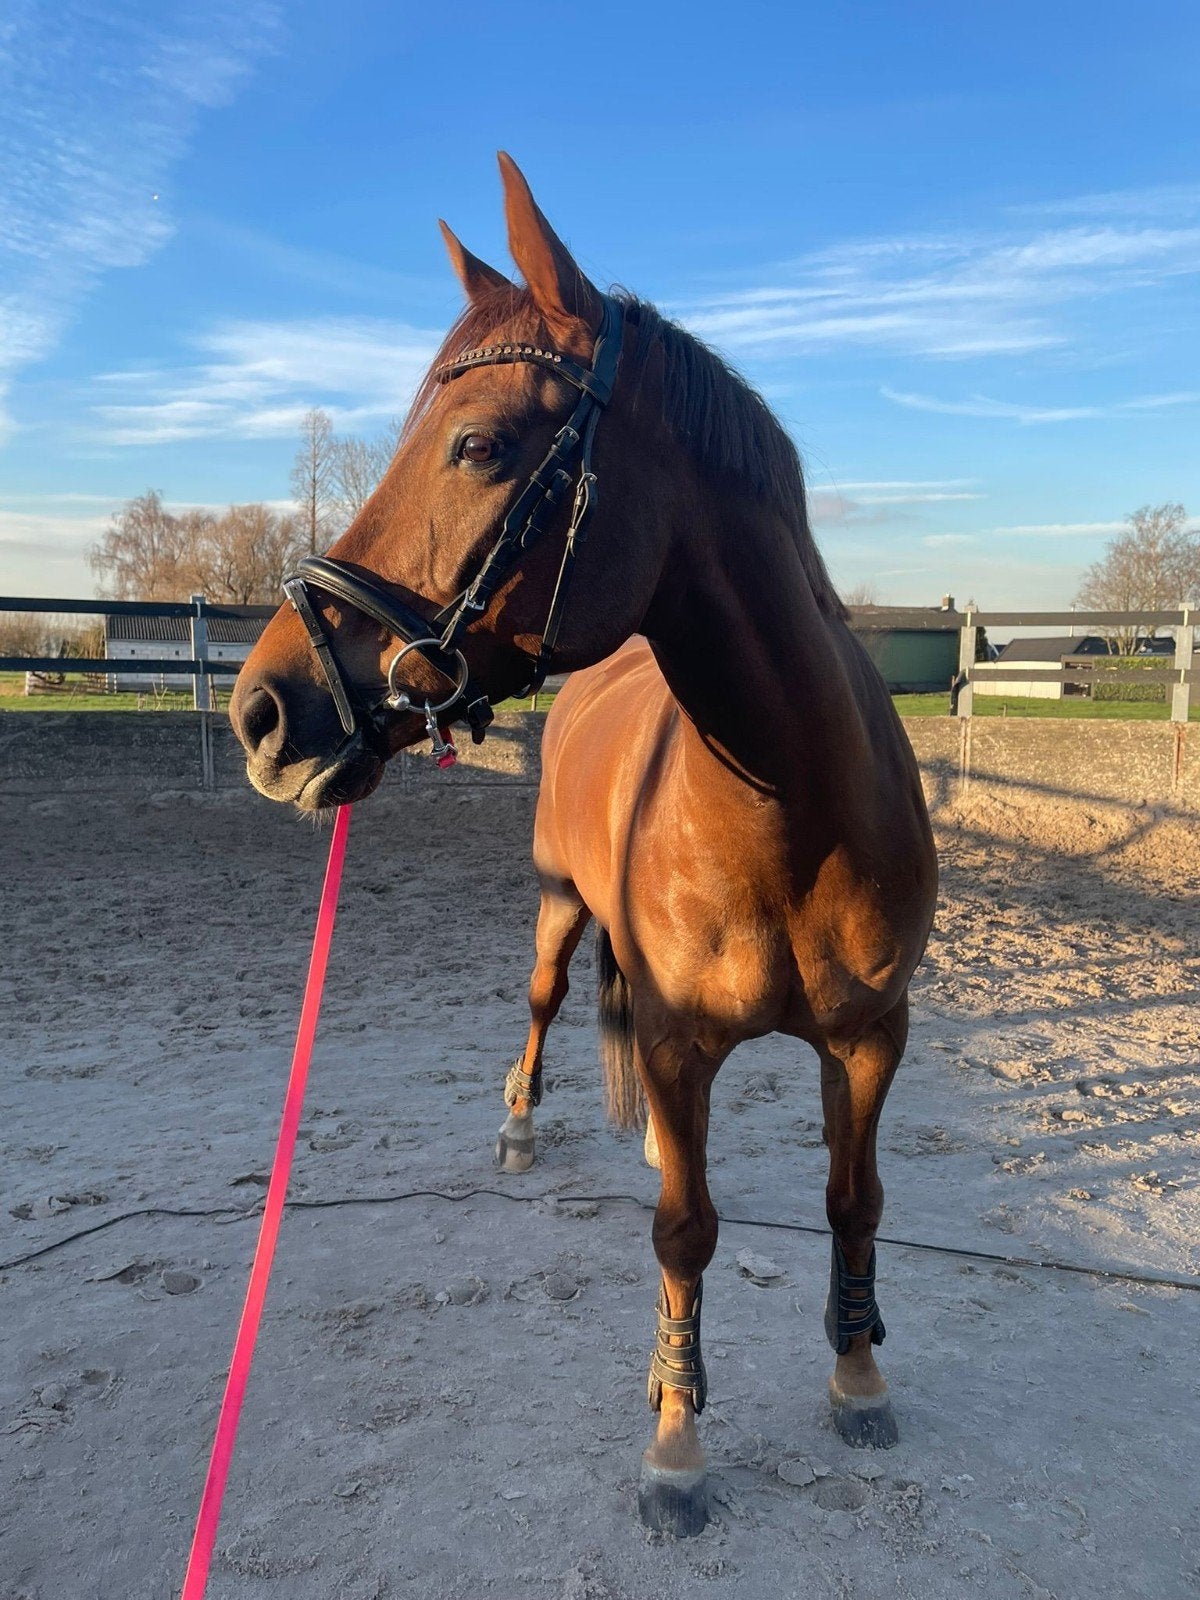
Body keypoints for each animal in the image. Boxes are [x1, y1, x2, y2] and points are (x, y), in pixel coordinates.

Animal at [230, 153, 938, 1538]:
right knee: (551, 1000)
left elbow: (855, 1199)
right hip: (562, 911)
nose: (265, 712)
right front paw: (677, 1437)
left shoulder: (871, 1038)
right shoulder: (672, 1035)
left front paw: (858, 1369)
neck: (798, 813)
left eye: (479, 444)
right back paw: (518, 1123)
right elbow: (683, 1233)